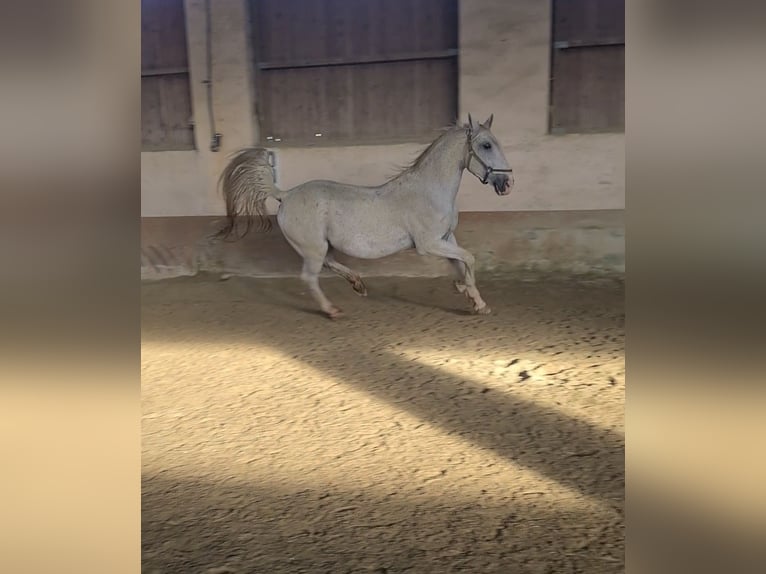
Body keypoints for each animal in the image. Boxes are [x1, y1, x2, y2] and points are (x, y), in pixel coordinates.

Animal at [218, 112, 516, 320]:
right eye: (486, 145)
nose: (507, 184)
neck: (430, 189)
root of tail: (285, 194)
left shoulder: (447, 238)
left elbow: (461, 263)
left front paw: (472, 297)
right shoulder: (428, 244)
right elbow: (470, 259)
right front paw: (472, 296)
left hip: (320, 246)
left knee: (329, 263)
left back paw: (358, 284)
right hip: (313, 248)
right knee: (310, 277)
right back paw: (333, 310)